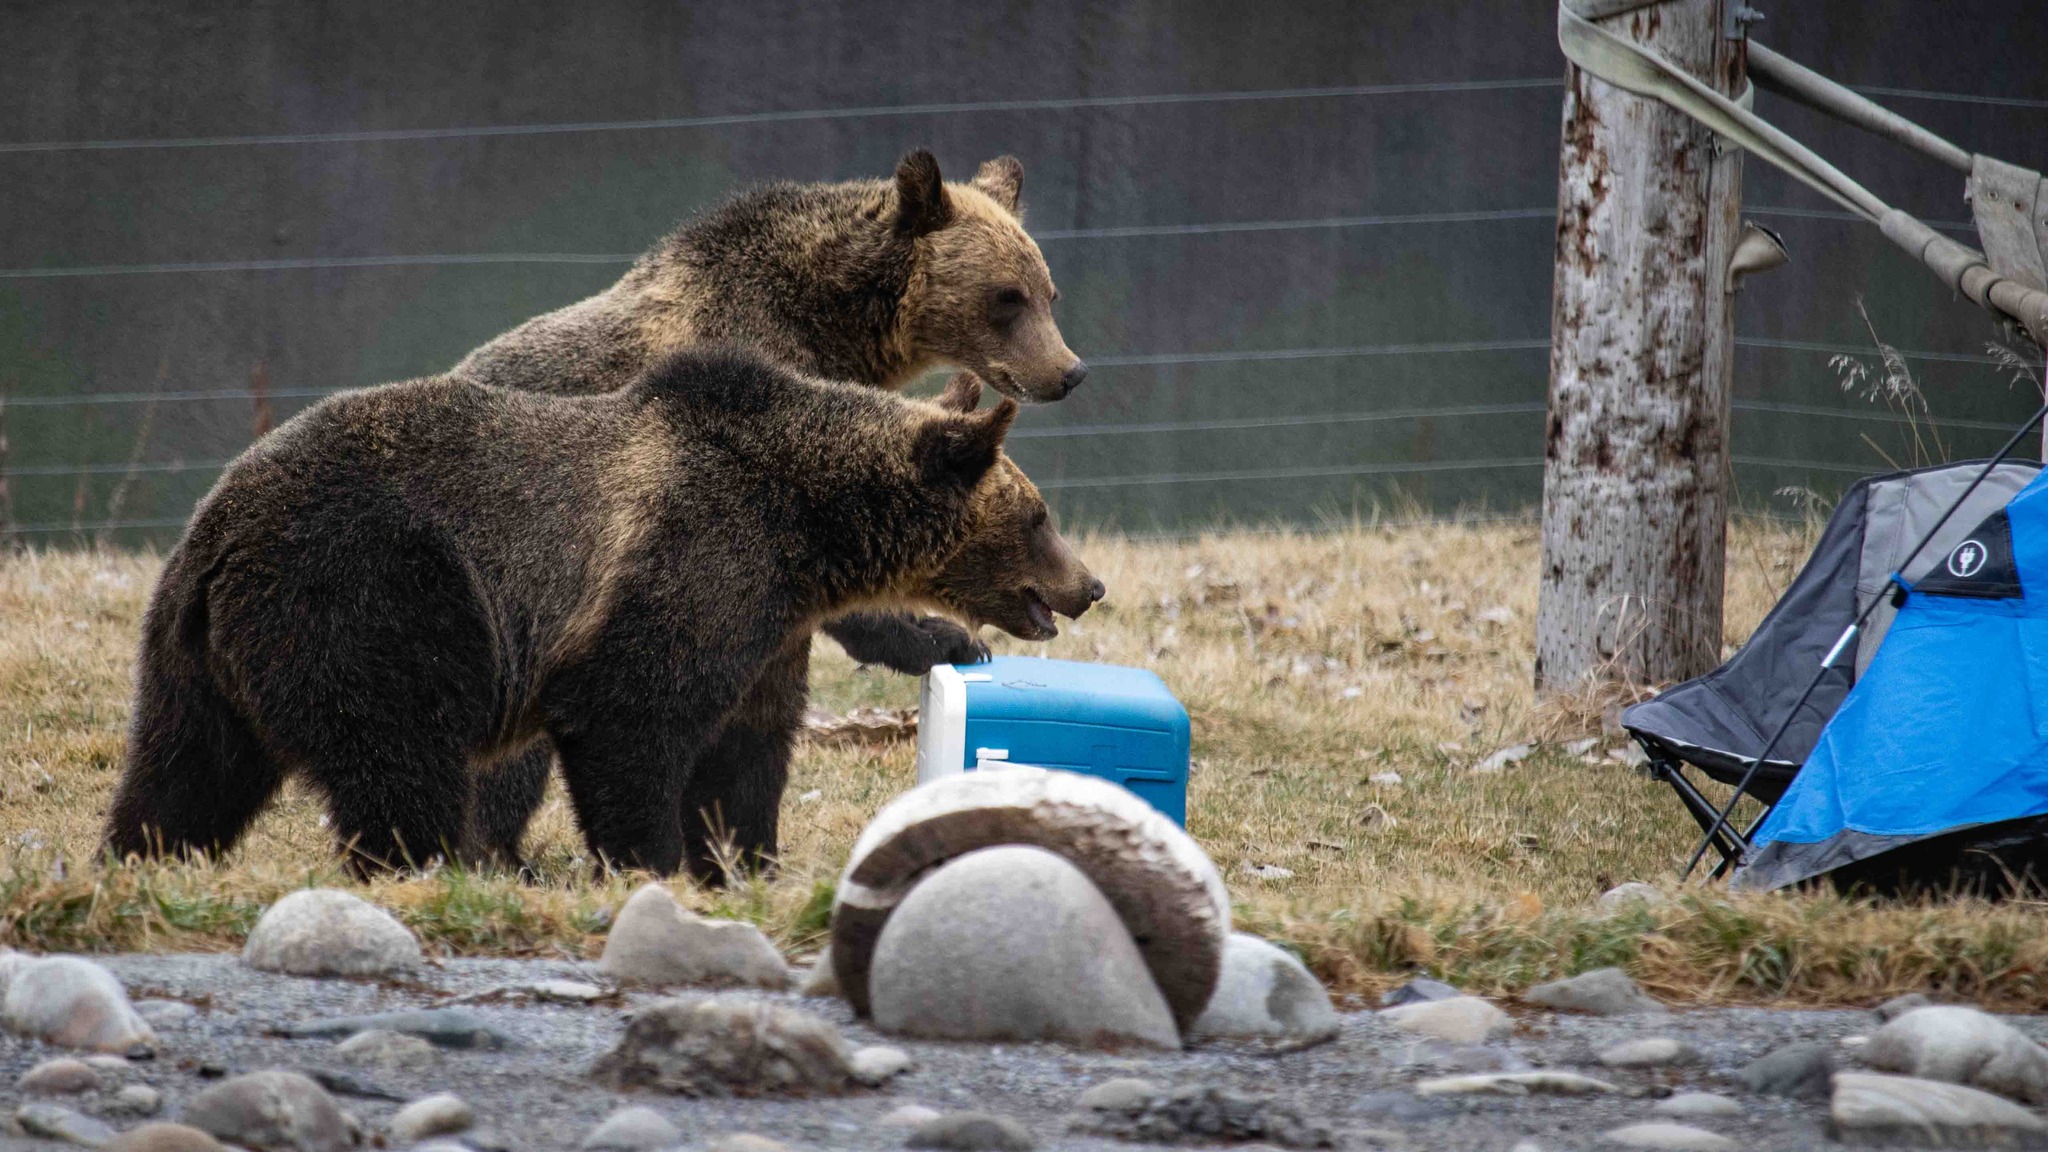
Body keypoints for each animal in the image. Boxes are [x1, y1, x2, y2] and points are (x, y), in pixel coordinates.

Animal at [103, 344, 1097, 873]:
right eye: (1039, 515)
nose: (1088, 586)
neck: (807, 528)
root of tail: (216, 532)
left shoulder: (759, 618)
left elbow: (743, 752)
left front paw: (739, 861)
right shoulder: (685, 563)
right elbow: (633, 726)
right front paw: (650, 861)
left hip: (195, 651)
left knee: (186, 766)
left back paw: (142, 854)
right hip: (374, 594)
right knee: (399, 756)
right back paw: (430, 863)